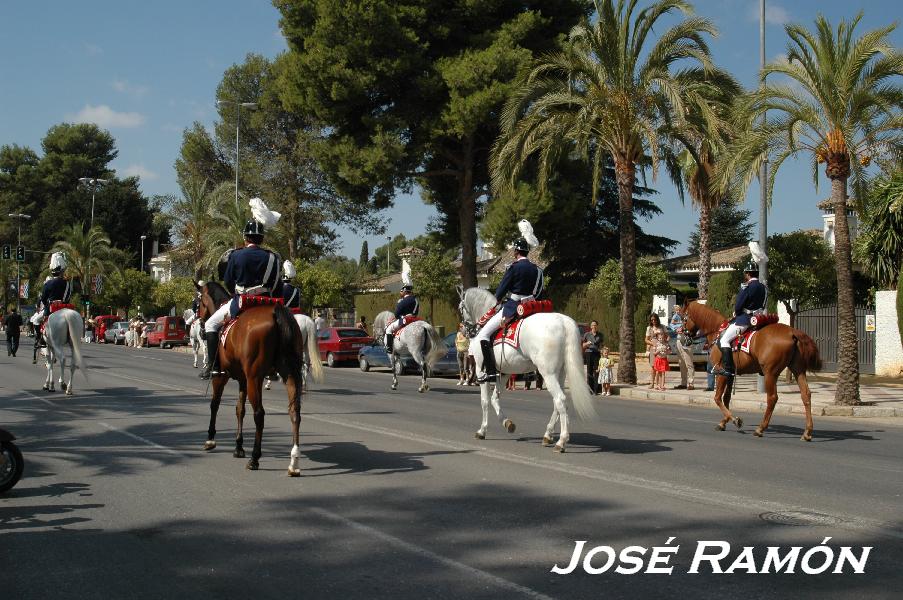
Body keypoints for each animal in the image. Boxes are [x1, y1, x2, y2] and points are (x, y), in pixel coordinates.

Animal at [196, 280, 306, 474]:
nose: (201, 328)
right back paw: (294, 463)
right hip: (289, 374)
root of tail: (276, 311)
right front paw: (238, 447)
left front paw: (210, 439)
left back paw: (255, 458)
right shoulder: (243, 379)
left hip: (255, 378)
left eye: (199, 302)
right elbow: (240, 410)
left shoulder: (221, 377)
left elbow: (215, 404)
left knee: (259, 414)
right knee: (294, 413)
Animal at [460, 286, 600, 450]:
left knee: (560, 400)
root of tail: (564, 322)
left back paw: (561, 441)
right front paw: (508, 423)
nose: (465, 331)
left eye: (460, 307)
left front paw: (482, 430)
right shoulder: (505, 373)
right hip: (560, 373)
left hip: (548, 373)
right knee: (557, 403)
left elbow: (485, 401)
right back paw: (548, 435)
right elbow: (495, 398)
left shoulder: (481, 371)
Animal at [680, 300, 824, 440]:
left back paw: (760, 428)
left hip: (770, 373)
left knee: (772, 398)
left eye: (683, 319)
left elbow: (717, 398)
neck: (717, 331)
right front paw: (724, 422)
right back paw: (807, 432)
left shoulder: (722, 373)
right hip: (798, 370)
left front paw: (734, 420)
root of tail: (792, 332)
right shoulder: (730, 374)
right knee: (806, 395)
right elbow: (726, 398)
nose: (682, 338)